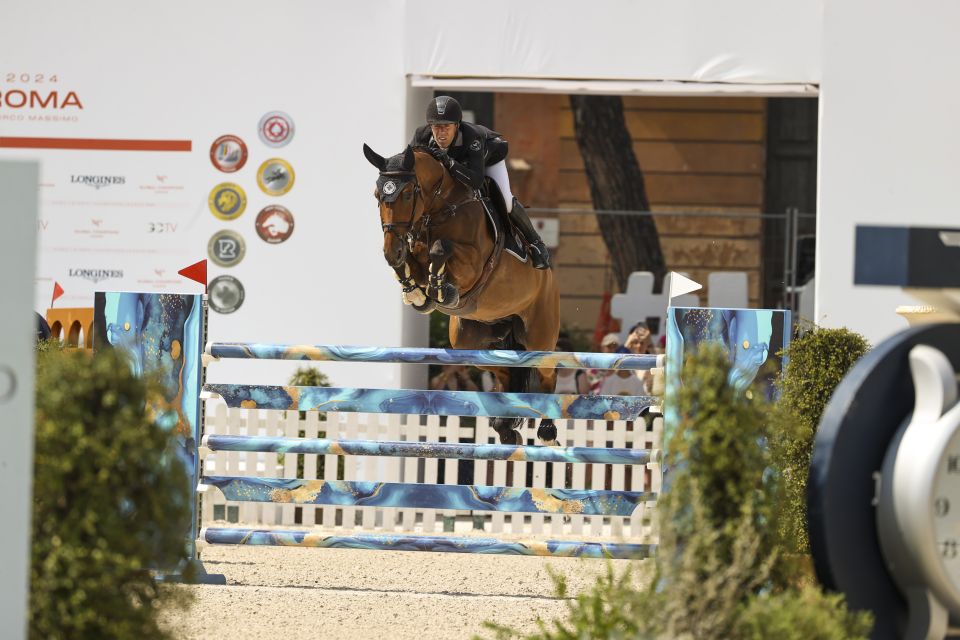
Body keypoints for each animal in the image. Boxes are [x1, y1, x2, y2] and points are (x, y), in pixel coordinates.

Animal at [362, 144, 560, 444]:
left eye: (407, 193)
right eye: (377, 195)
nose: (390, 250)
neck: (439, 207)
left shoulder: (473, 264)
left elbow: (441, 249)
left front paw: (442, 289)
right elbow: (412, 262)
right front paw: (417, 292)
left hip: (539, 335)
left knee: (548, 373)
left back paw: (547, 430)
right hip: (470, 342)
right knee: (503, 371)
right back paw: (505, 427)